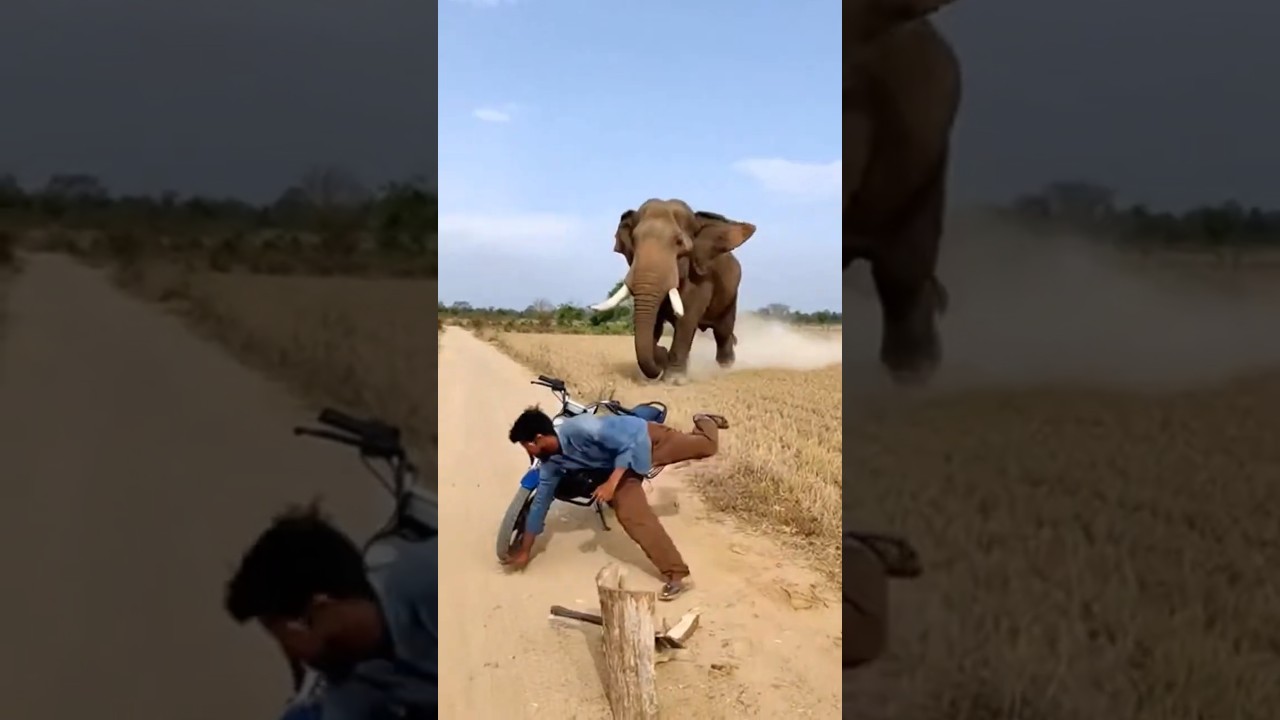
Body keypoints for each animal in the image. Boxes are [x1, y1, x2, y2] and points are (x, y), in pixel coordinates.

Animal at [590, 199, 755, 383]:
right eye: (634, 240)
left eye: (679, 242)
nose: (661, 361)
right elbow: (655, 325)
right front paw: (662, 357)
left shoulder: (701, 279)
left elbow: (686, 319)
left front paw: (674, 379)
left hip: (731, 295)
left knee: (723, 331)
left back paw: (725, 367)